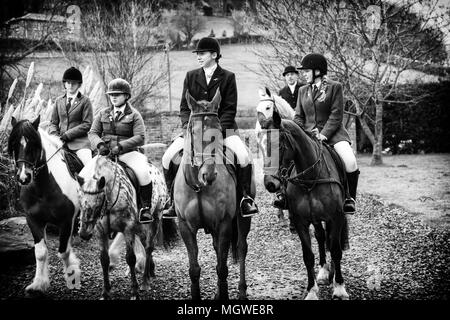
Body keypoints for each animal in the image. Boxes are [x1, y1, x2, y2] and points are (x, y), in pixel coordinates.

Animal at [7, 115, 81, 296]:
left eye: (35, 145)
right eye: (14, 144)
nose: (24, 177)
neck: (43, 188)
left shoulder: (66, 221)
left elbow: (64, 251)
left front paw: (72, 275)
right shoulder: (33, 220)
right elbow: (40, 253)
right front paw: (38, 284)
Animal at [76, 155, 177, 300]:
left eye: (97, 204)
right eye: (79, 202)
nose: (84, 234)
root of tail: (154, 169)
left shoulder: (128, 228)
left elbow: (130, 258)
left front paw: (134, 291)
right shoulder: (101, 231)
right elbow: (104, 259)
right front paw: (106, 292)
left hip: (156, 217)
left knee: (149, 247)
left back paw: (145, 281)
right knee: (144, 244)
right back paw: (149, 270)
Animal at [174, 88, 253, 300]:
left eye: (218, 130)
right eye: (193, 131)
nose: (208, 175)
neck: (198, 186)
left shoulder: (225, 223)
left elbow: (222, 268)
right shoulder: (185, 226)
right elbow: (194, 269)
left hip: (242, 218)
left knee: (241, 248)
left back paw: (242, 291)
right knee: (218, 249)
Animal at [256, 107, 352, 300]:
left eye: (279, 146)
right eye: (261, 147)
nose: (270, 184)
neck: (310, 178)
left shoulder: (336, 217)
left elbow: (336, 250)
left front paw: (339, 287)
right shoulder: (300, 221)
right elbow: (308, 255)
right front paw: (311, 290)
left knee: (333, 242)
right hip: (315, 219)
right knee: (321, 237)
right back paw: (323, 272)